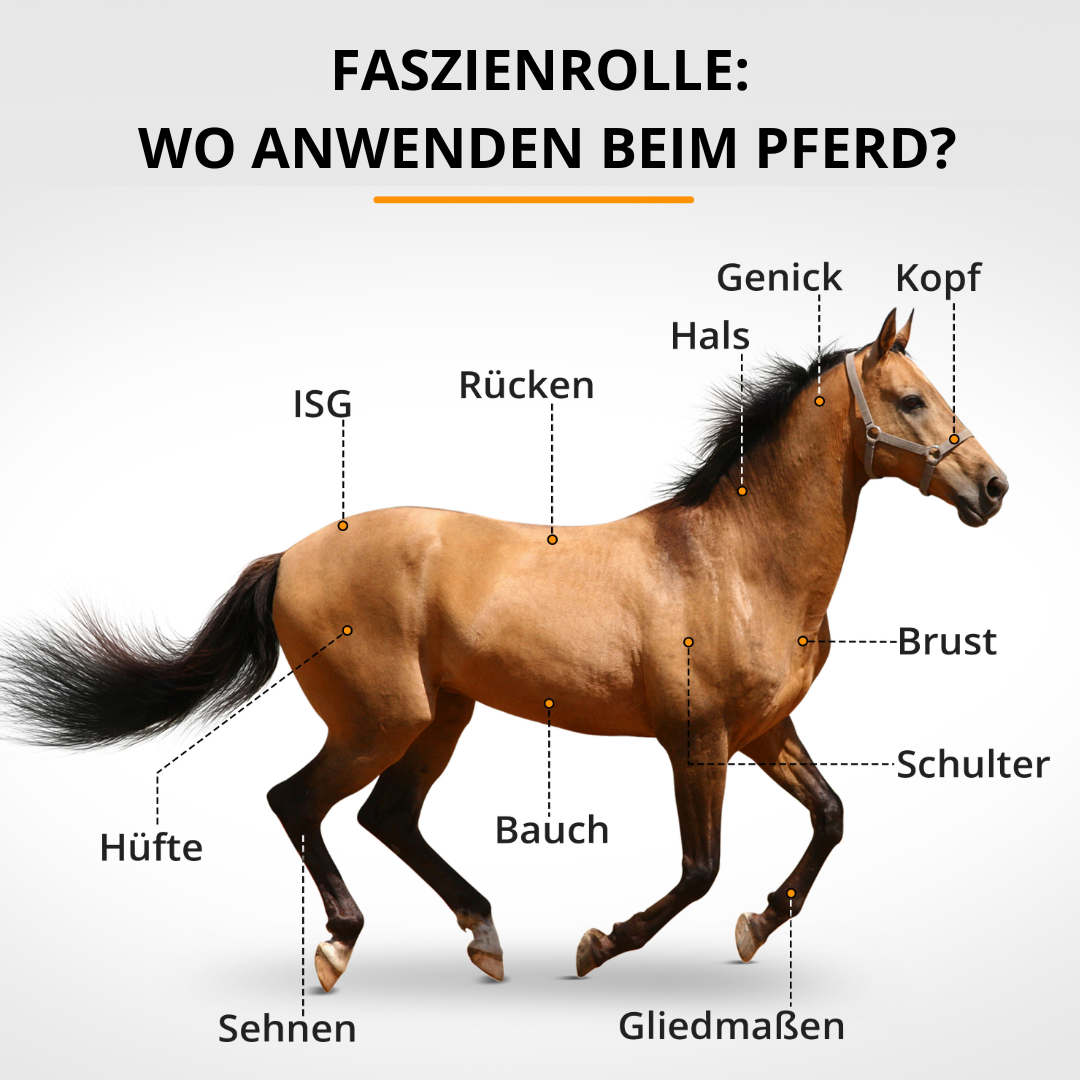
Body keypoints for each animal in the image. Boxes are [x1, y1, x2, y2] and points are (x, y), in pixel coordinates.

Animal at [1, 309, 1008, 991]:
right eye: (912, 399)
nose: (994, 487)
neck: (736, 561)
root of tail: (291, 555)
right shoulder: (700, 740)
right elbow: (699, 868)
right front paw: (600, 945)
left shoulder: (767, 731)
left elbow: (831, 817)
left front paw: (757, 927)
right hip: (383, 717)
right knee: (299, 801)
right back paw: (339, 945)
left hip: (442, 716)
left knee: (386, 817)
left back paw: (482, 936)